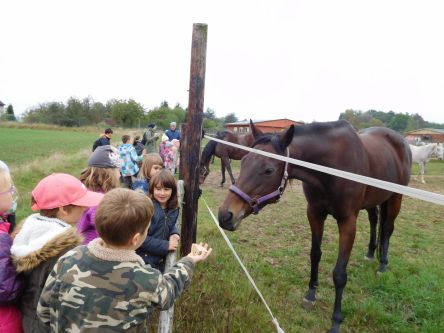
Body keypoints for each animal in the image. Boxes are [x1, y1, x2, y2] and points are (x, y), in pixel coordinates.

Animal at [217, 119, 412, 332]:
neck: (332, 168)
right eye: (244, 161)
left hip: (395, 198)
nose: (225, 216)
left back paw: (383, 264)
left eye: (268, 170)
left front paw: (336, 321)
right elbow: (315, 254)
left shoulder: (348, 221)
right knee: (374, 220)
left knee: (387, 229)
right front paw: (311, 294)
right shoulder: (314, 214)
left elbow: (339, 274)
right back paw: (370, 254)